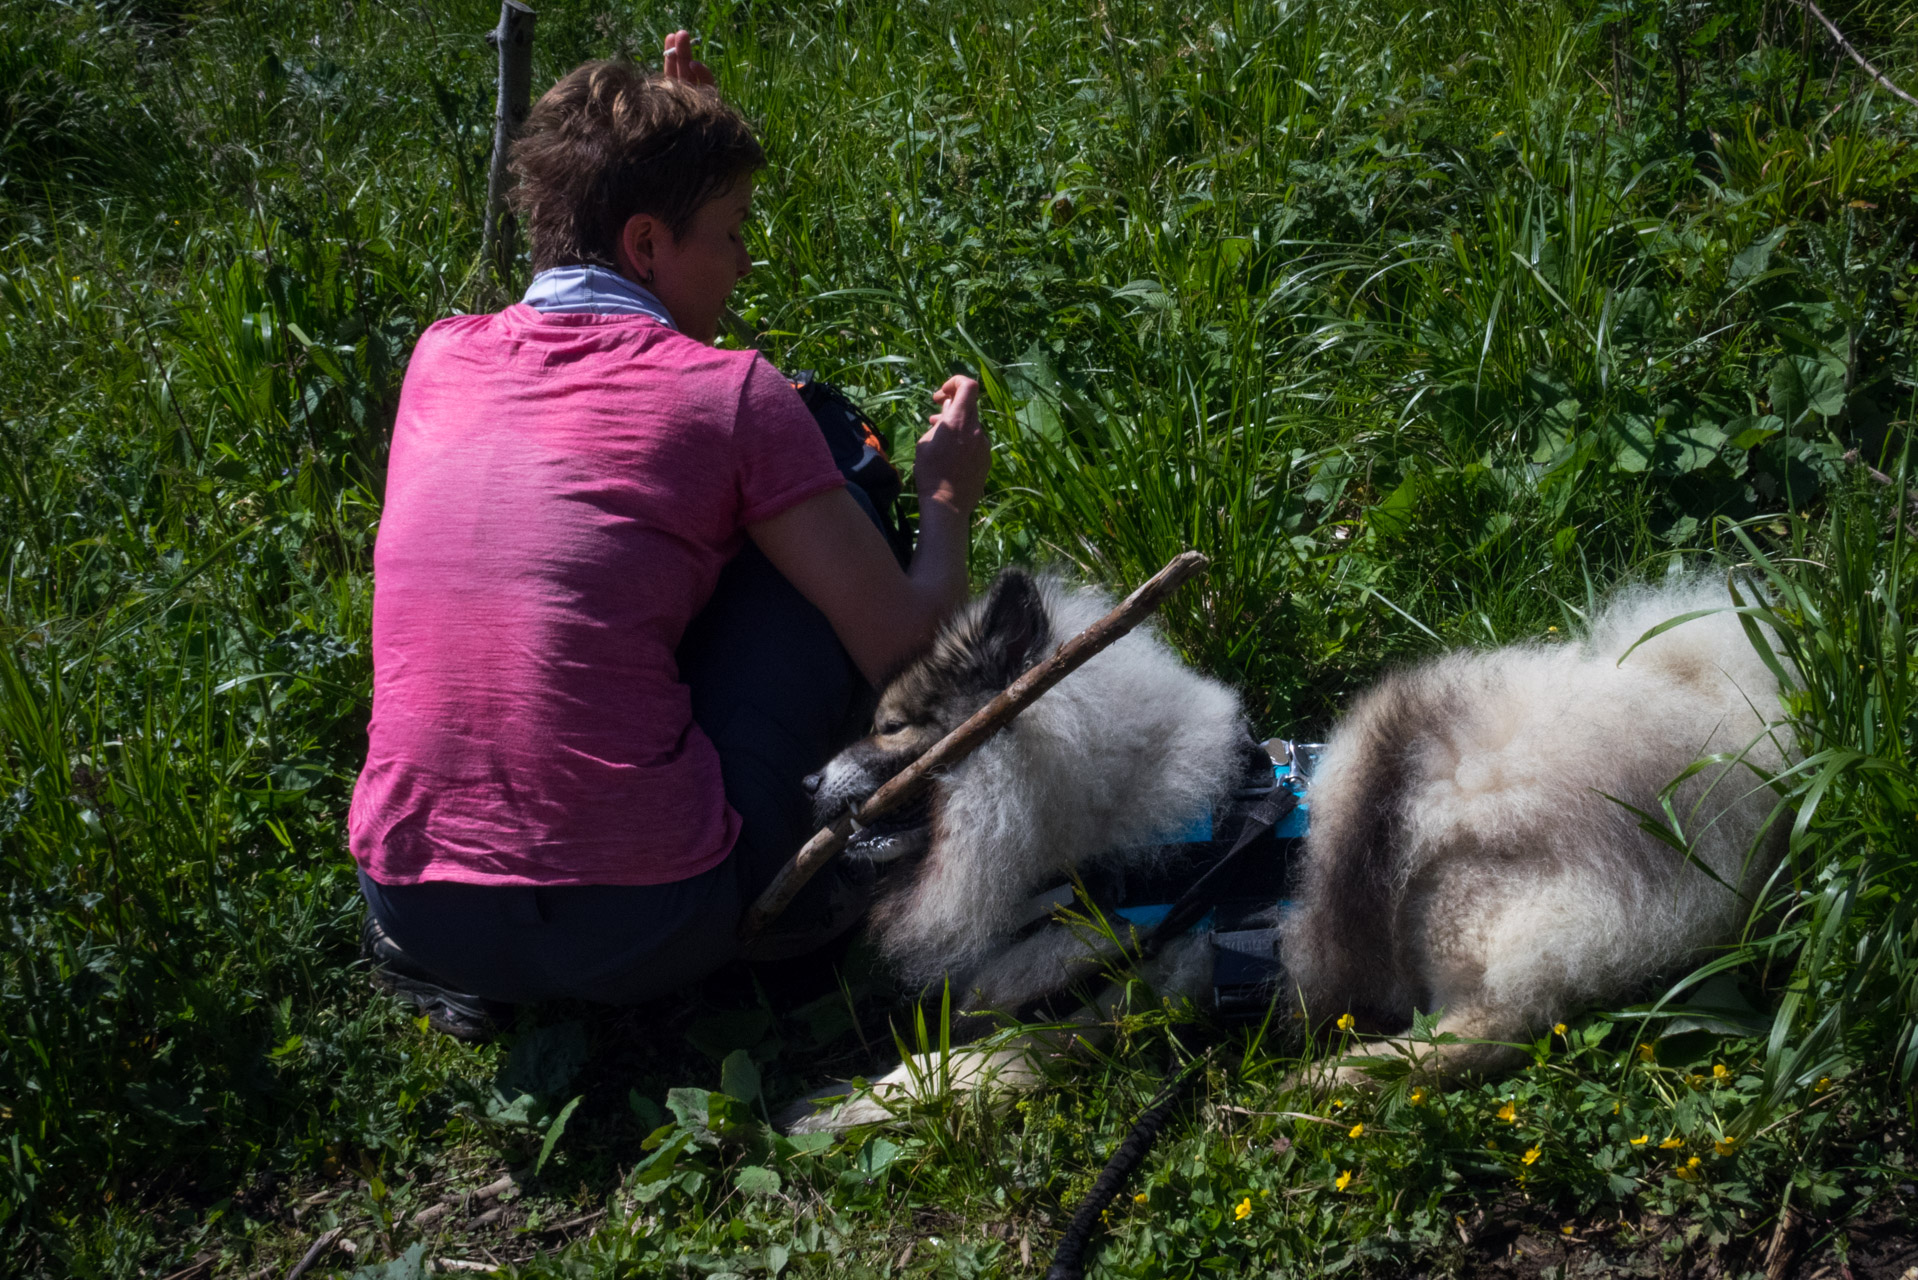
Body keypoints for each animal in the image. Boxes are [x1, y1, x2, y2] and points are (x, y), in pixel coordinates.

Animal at [778, 571, 1779, 1128]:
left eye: (891, 727)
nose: (802, 783)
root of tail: (1732, 756)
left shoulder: (1138, 992)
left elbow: (989, 1060)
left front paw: (847, 1109)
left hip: (1452, 871)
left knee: (1499, 1027)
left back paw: (1332, 1079)